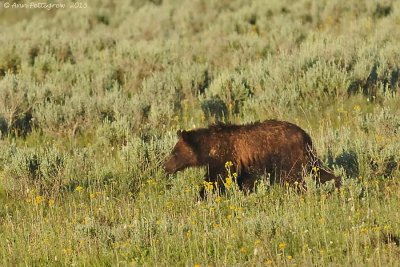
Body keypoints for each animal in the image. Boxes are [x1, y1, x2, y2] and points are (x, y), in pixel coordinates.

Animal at [162, 120, 340, 198]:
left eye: (174, 153)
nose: (165, 167)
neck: (210, 147)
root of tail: (305, 135)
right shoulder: (243, 164)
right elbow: (244, 180)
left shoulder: (225, 157)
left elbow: (216, 179)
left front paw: (202, 196)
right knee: (319, 172)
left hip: (290, 158)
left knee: (296, 178)